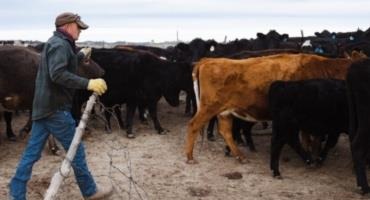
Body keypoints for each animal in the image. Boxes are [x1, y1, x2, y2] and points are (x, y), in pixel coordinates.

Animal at [186, 51, 366, 162]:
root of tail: (209, 60)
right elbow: (311, 139)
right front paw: (312, 156)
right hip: (208, 108)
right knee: (194, 125)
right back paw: (189, 157)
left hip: (225, 112)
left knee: (226, 131)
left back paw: (240, 156)